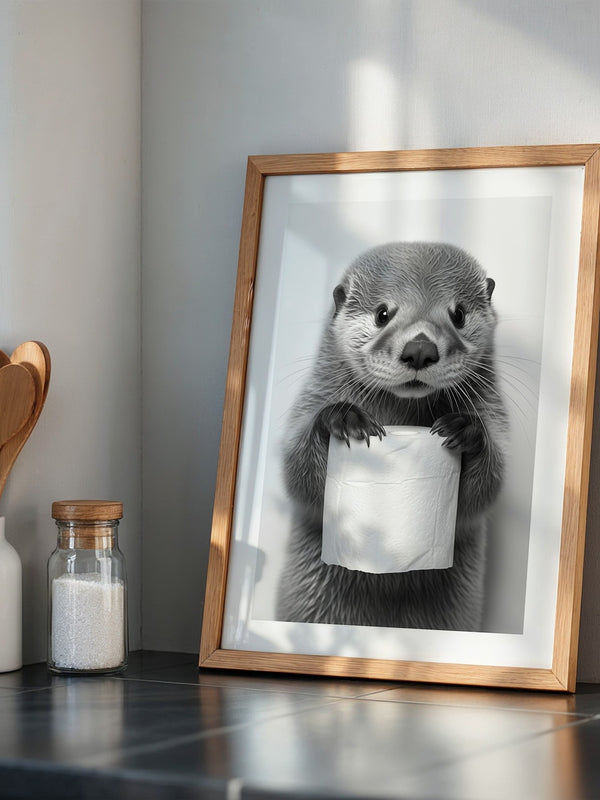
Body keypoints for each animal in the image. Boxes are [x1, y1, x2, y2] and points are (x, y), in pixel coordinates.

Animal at [276, 241, 507, 631]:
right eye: (382, 314)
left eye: (458, 314)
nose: (420, 349)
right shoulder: (314, 395)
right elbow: (299, 478)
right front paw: (341, 419)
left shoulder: (493, 411)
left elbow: (486, 491)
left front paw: (466, 430)